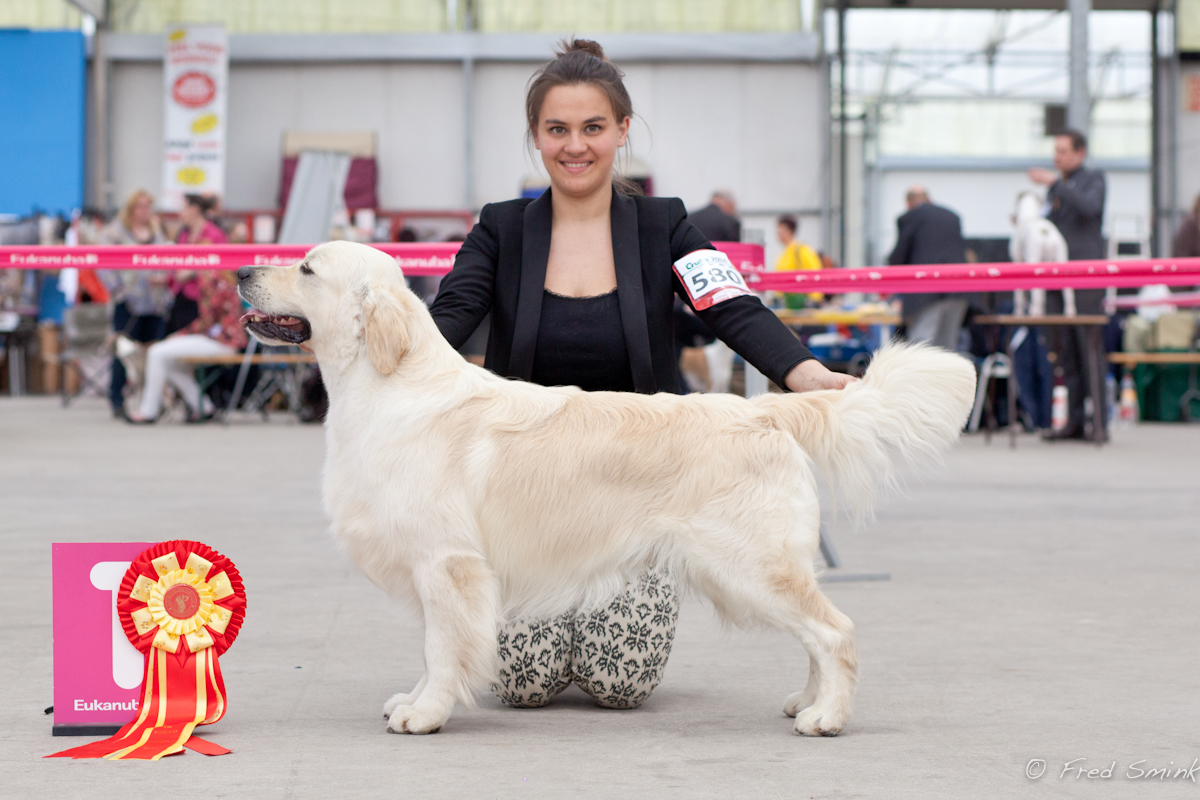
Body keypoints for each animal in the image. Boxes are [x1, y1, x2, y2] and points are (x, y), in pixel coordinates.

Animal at [238, 242, 979, 738]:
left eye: (307, 268)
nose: (241, 273)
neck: (389, 384)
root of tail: (766, 410)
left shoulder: (446, 563)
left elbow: (442, 647)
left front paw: (427, 712)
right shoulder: (438, 570)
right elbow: (434, 644)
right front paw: (415, 699)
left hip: (753, 564)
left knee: (836, 631)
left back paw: (827, 716)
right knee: (817, 635)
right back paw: (808, 701)